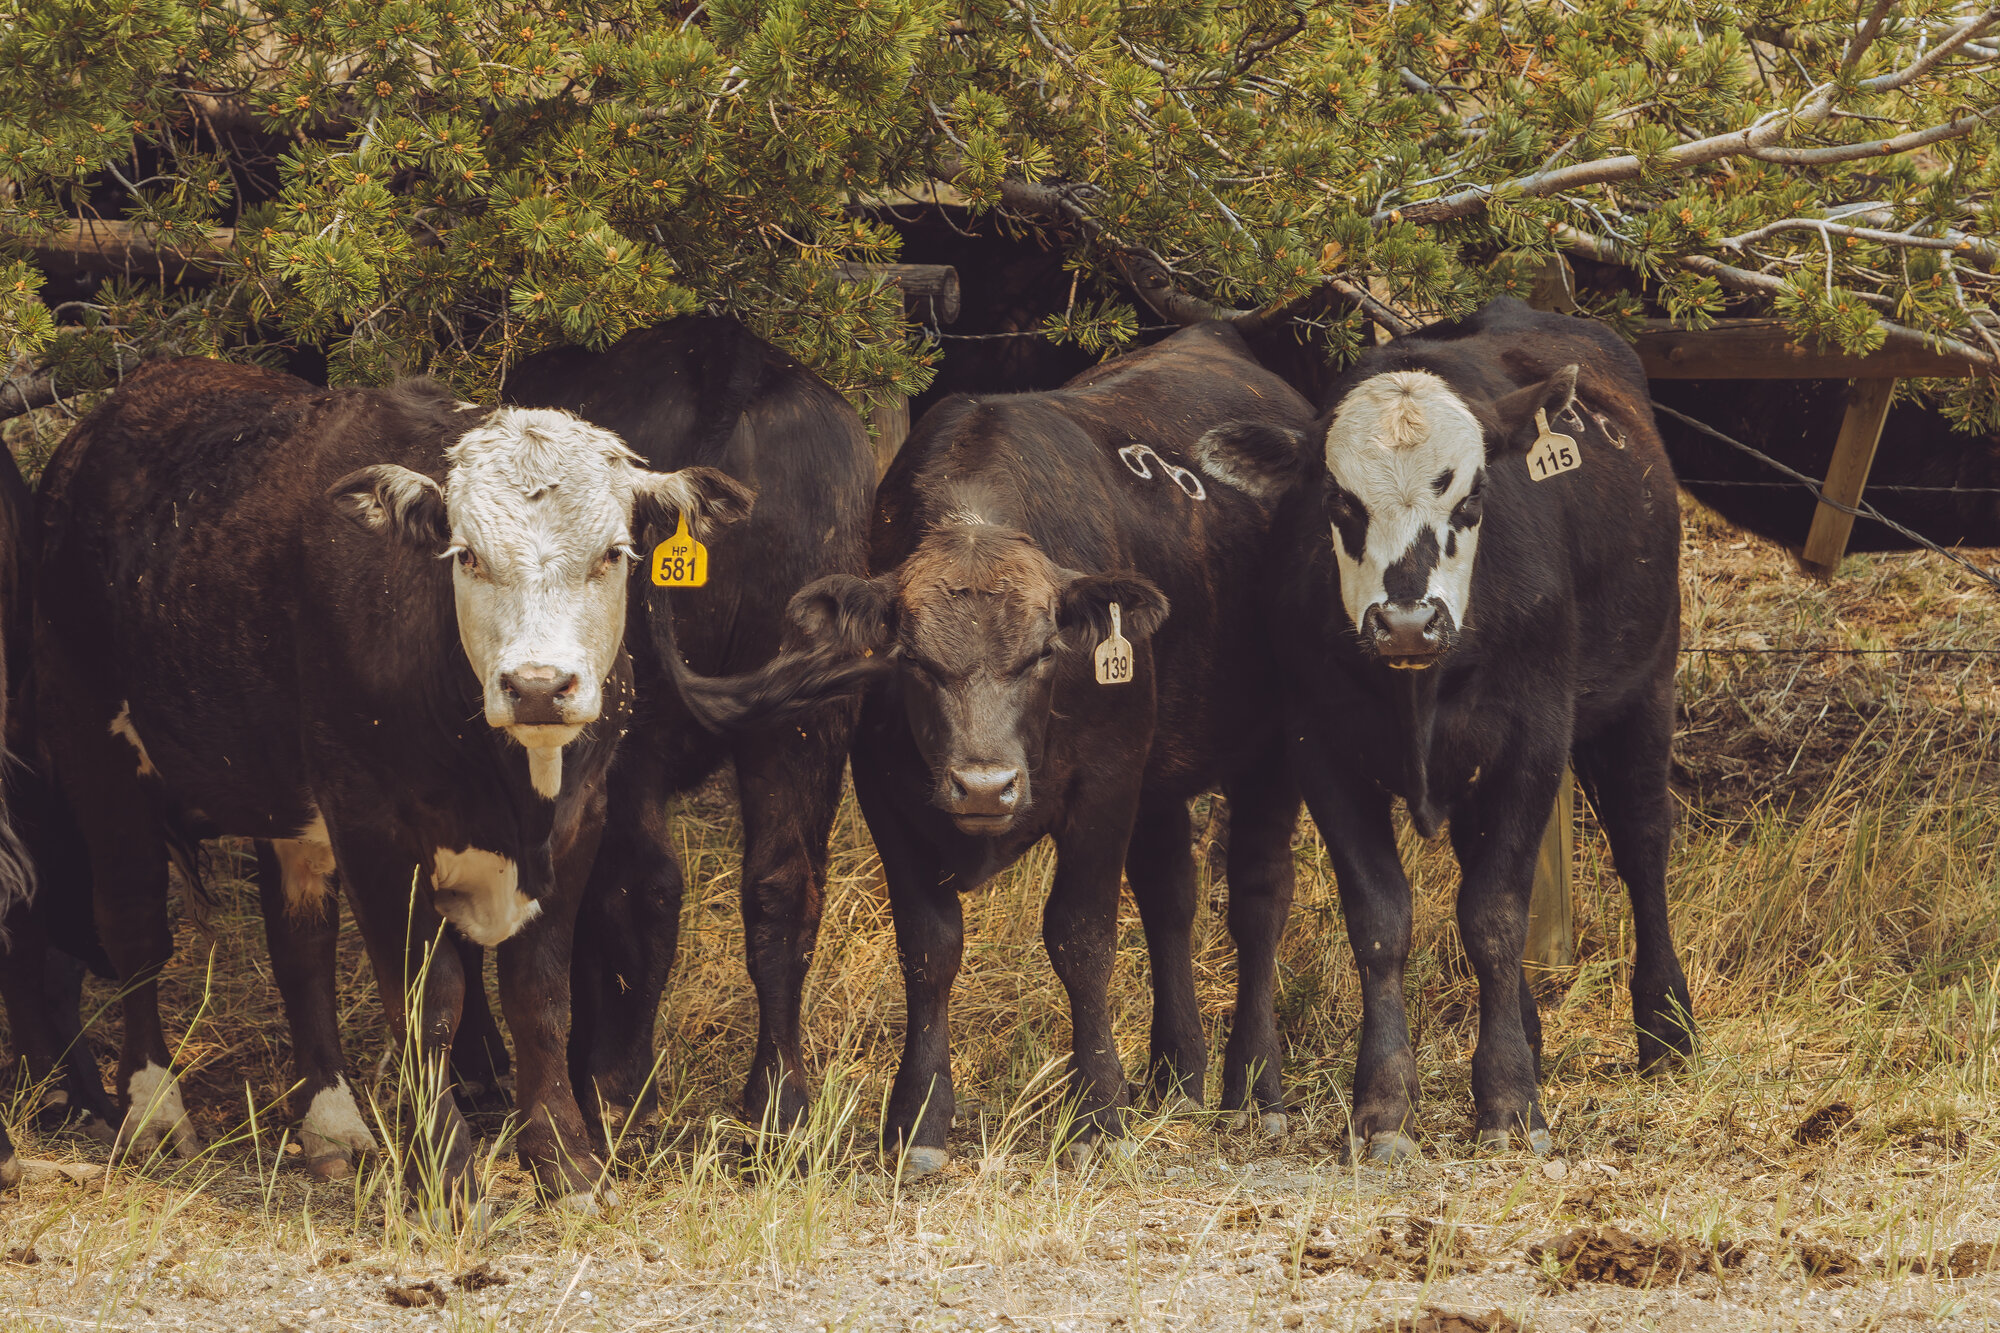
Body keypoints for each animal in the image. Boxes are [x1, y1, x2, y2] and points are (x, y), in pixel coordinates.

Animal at [31, 359, 750, 1211]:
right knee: (135, 924)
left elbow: (540, 1000)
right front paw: (447, 1171)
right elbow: (428, 1000)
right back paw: (155, 1112)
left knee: (298, 941)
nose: (538, 685)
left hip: (286, 798)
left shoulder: (581, 820)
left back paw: (333, 1124)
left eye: (612, 554)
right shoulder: (373, 825)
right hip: (97, 747)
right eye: (466, 556)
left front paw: (567, 1164)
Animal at [702, 322, 1319, 1176]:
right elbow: (929, 946)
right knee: (1170, 898)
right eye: (915, 661)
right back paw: (1176, 1075)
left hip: (1273, 754)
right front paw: (919, 1116)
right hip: (1161, 783)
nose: (986, 786)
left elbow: (1081, 935)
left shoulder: (1105, 783)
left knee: (1259, 898)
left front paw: (1097, 1109)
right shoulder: (889, 792)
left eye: (1042, 653)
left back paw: (1255, 1086)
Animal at [1198, 297, 1696, 1161]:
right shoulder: (1322, 752)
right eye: (1340, 502)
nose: (1405, 621)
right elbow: (1381, 920)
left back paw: (1667, 1027)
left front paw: (1508, 1099)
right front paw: (1384, 1103)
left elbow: (1494, 917)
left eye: (1469, 500)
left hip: (1646, 687)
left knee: (1642, 844)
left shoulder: (1534, 743)